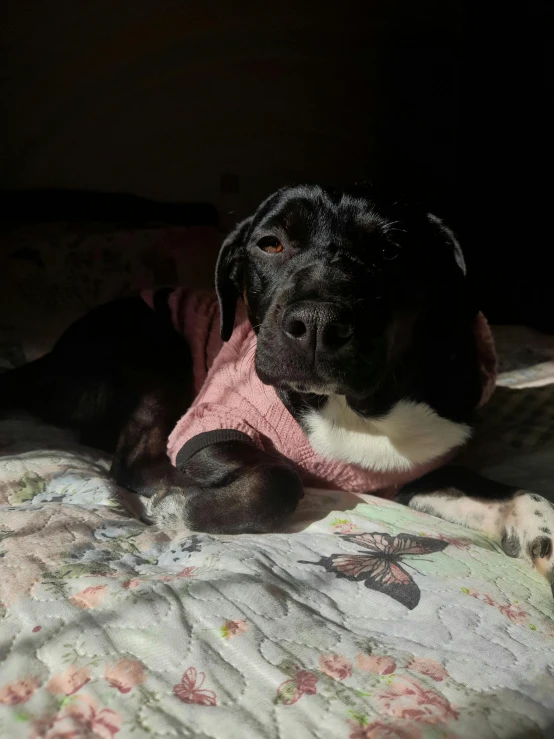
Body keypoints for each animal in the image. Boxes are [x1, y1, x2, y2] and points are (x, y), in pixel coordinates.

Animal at [0, 186, 548, 596]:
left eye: (391, 251)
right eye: (270, 244)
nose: (318, 324)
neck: (357, 409)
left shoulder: (414, 473)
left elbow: (507, 489)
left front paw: (537, 534)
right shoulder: (211, 422)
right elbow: (278, 480)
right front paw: (186, 506)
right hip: (154, 352)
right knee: (133, 460)